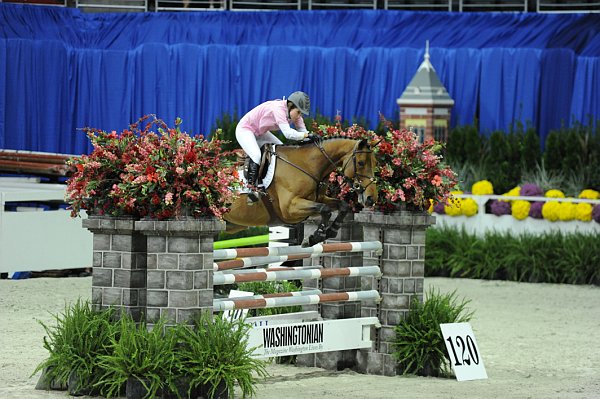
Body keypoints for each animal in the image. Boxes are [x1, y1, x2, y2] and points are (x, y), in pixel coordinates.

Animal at [223, 139, 378, 248]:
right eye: (361, 163)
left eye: (375, 163)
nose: (371, 198)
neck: (307, 165)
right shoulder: (289, 209)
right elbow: (325, 209)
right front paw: (315, 238)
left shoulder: (319, 198)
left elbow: (343, 206)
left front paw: (331, 231)